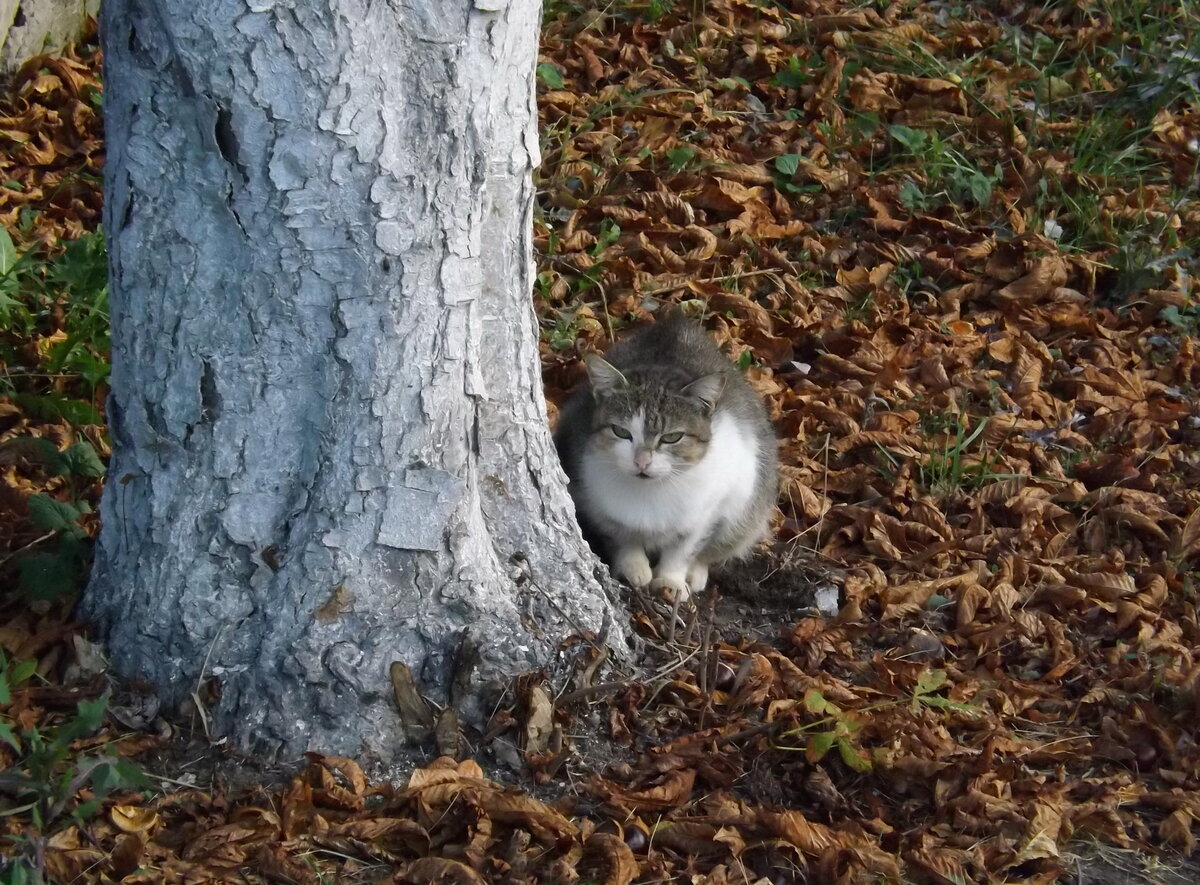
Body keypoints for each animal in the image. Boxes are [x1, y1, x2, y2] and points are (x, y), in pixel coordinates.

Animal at [552, 311, 777, 599]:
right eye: (621, 431)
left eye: (672, 437)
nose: (642, 461)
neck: (652, 493)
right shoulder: (594, 502)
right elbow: (621, 537)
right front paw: (633, 567)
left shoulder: (712, 510)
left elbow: (684, 550)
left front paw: (671, 580)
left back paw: (697, 574)